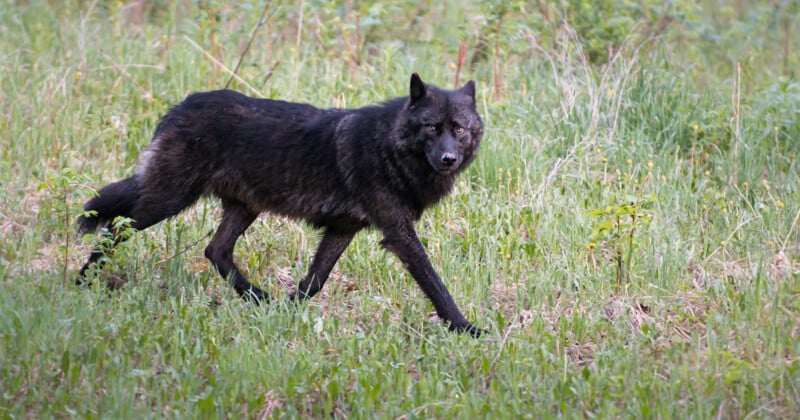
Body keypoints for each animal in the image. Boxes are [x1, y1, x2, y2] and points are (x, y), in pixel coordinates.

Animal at [77, 74, 485, 336]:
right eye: (432, 127)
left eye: (458, 128)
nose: (448, 159)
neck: (388, 147)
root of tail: (180, 107)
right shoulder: (398, 233)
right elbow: (434, 282)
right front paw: (465, 328)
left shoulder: (342, 229)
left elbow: (315, 281)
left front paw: (289, 308)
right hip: (168, 201)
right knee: (114, 229)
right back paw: (82, 283)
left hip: (243, 208)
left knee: (216, 251)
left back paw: (261, 299)